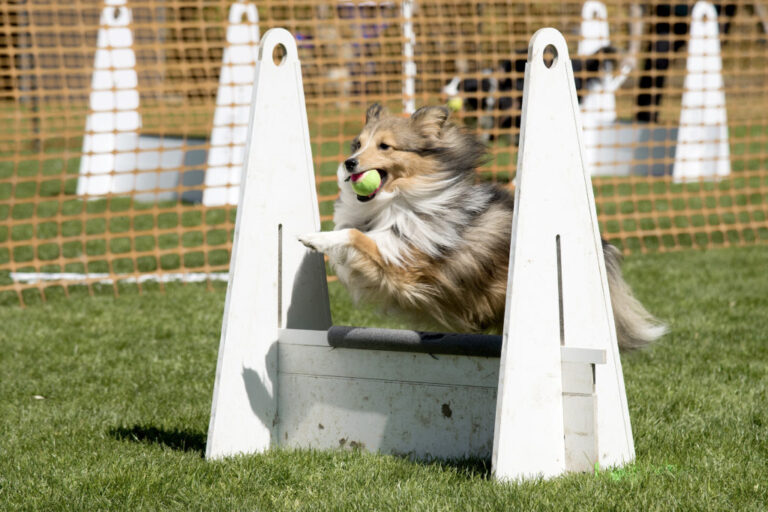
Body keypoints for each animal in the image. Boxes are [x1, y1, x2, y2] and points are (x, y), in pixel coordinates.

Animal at [300, 102, 664, 350]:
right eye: (357, 144)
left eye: (385, 146)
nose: (349, 163)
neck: (395, 200)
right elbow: (352, 228)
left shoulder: (404, 264)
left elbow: (354, 234)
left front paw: (313, 238)